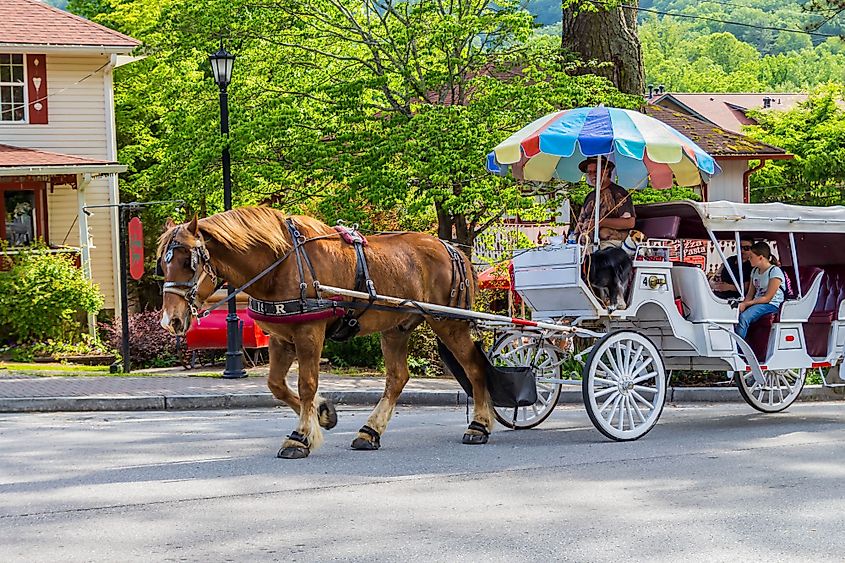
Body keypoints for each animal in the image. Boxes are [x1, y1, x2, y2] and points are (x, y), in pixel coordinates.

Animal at [158, 207, 494, 458]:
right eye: (163, 263)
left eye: (189, 262)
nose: (169, 320)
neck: (281, 263)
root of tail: (450, 247)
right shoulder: (281, 338)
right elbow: (276, 385)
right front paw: (323, 414)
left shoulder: (309, 333)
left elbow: (306, 384)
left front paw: (300, 437)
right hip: (396, 327)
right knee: (397, 378)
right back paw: (369, 432)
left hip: (449, 322)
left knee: (475, 367)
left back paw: (478, 426)